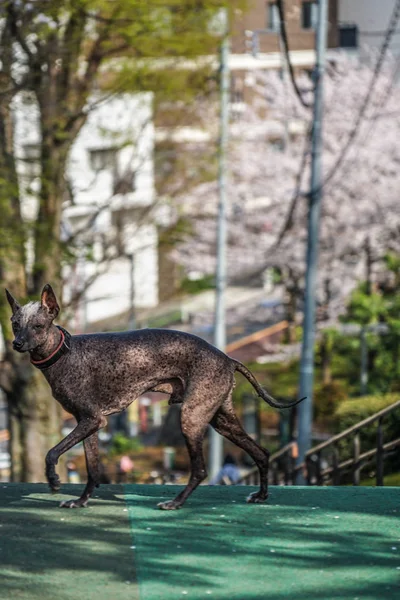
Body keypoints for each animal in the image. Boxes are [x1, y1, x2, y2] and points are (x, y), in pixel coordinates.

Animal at [5, 284, 306, 508]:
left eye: (38, 326)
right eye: (15, 324)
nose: (16, 344)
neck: (64, 354)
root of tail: (227, 358)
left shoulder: (92, 421)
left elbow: (51, 452)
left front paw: (54, 480)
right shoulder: (89, 425)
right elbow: (92, 469)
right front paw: (80, 501)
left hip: (192, 418)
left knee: (200, 470)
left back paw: (176, 503)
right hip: (221, 420)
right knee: (262, 453)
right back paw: (261, 495)